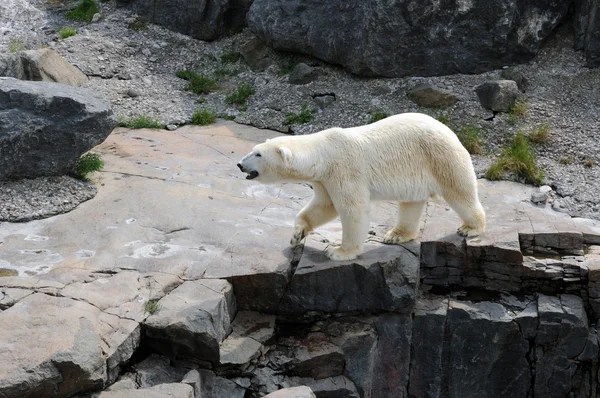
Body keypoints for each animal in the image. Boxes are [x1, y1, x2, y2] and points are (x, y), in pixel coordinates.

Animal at [237, 112, 486, 262]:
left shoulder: (344, 170)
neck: (323, 154)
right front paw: (297, 234)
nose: (240, 164)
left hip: (439, 157)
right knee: (411, 202)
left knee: (459, 190)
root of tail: (448, 129)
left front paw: (340, 252)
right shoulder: (324, 179)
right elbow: (323, 206)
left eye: (258, 154)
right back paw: (396, 235)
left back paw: (470, 228)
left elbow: (352, 210)